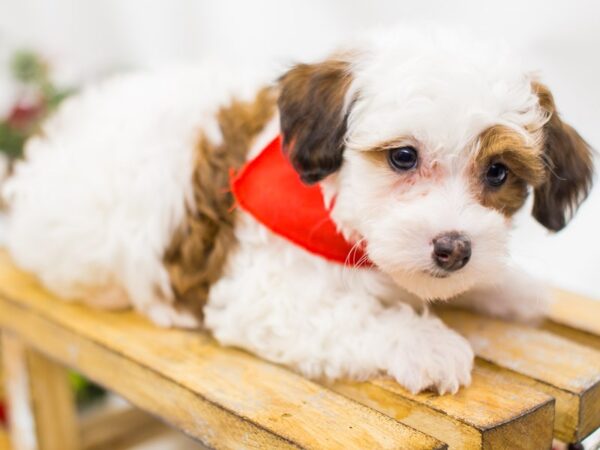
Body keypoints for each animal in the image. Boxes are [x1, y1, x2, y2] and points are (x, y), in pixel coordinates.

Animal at [3, 29, 596, 394]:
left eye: (497, 172)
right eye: (403, 157)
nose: (453, 249)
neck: (332, 213)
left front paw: (510, 287)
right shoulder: (257, 293)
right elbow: (353, 316)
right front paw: (425, 343)